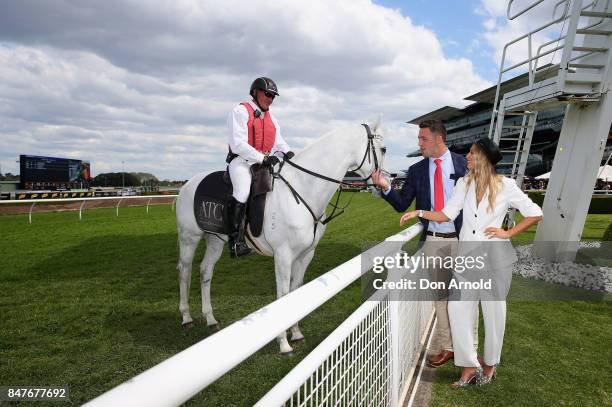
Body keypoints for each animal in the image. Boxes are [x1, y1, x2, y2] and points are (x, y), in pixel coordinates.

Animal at [177, 122, 384, 356]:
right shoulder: (283, 256)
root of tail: (188, 184)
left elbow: (295, 291)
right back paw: (186, 317)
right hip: (189, 238)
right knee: (184, 271)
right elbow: (284, 295)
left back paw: (210, 319)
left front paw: (296, 333)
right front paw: (284, 344)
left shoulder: (305, 255)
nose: (386, 183)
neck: (302, 188)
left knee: (205, 271)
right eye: (383, 149)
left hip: (215, 240)